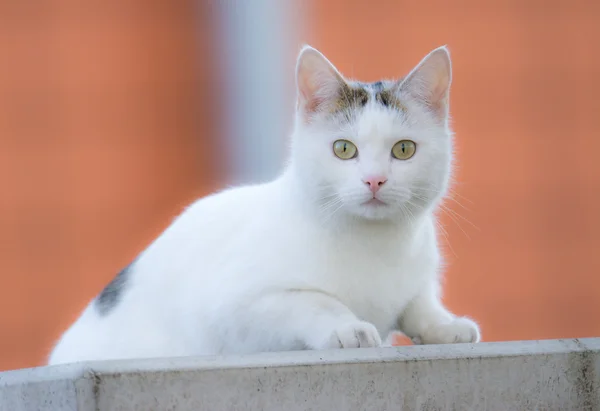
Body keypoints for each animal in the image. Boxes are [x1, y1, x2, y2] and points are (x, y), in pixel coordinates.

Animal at [47, 45, 480, 366]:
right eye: (344, 149)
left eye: (403, 149)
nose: (374, 180)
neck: (376, 244)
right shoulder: (235, 308)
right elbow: (313, 299)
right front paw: (348, 327)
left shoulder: (417, 278)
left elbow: (418, 303)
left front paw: (445, 324)